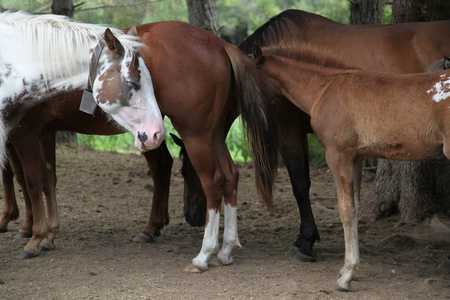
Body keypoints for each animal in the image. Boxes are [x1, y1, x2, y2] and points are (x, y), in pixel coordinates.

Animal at [0, 11, 165, 258]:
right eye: (132, 81)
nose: (158, 132)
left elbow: (34, 179)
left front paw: (37, 236)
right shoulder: (32, 134)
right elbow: (39, 179)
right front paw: (41, 236)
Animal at [251, 44, 450, 290]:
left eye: (244, 73)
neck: (324, 89)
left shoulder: (338, 155)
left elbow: (345, 208)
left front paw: (346, 276)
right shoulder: (355, 158)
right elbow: (355, 205)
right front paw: (347, 268)